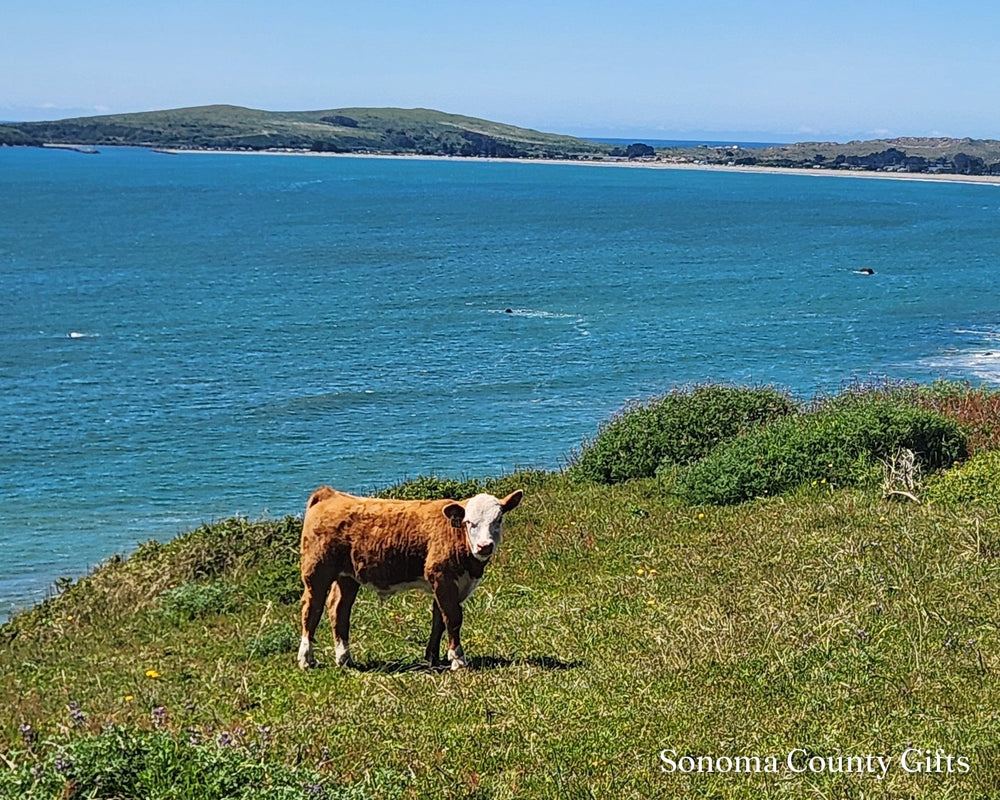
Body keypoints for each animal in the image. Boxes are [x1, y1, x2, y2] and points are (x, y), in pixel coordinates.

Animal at [297, 486, 523, 671]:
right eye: (469, 522)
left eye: (498, 520)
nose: (484, 546)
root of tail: (331, 495)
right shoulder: (442, 577)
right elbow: (453, 618)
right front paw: (457, 659)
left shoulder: (445, 583)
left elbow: (439, 619)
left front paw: (432, 658)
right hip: (316, 572)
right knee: (312, 609)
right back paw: (306, 659)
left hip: (347, 577)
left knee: (339, 609)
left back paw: (344, 658)